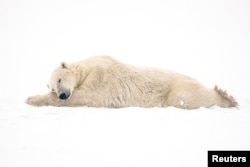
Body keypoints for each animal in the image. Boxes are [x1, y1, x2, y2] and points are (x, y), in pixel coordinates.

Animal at [25, 55, 238, 109]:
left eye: (60, 79)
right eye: (54, 87)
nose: (62, 94)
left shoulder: (101, 76)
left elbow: (87, 95)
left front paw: (31, 98)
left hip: (178, 85)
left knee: (183, 97)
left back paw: (225, 97)